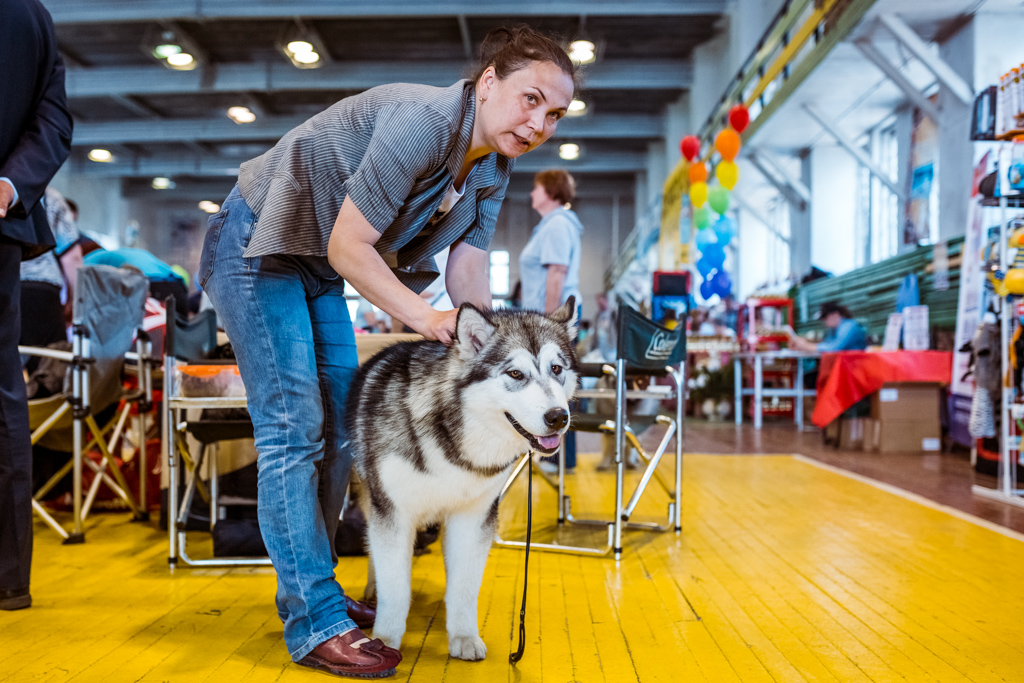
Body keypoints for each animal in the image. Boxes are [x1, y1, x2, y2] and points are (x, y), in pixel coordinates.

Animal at [348, 296, 581, 659]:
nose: (558, 417)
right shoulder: (394, 513)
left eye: (557, 369)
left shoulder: (474, 518)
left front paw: (464, 637)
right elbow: (395, 587)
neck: (453, 439)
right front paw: (384, 641)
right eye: (515, 373)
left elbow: (465, 587)